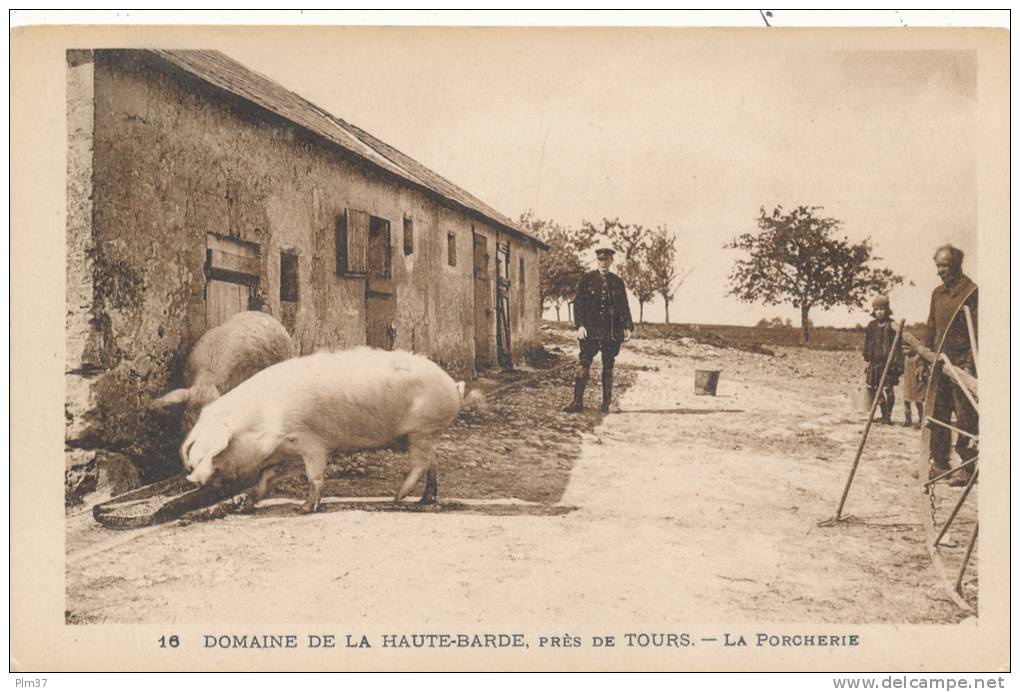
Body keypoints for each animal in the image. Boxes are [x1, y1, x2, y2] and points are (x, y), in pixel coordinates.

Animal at [179, 347, 481, 514]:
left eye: (210, 453)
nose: (192, 478)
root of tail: (453, 386)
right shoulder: (286, 453)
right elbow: (265, 478)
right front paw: (247, 505)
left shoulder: (311, 442)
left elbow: (315, 476)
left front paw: (303, 509)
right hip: (424, 435)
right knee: (433, 463)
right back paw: (424, 499)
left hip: (421, 430)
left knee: (421, 463)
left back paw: (397, 497)